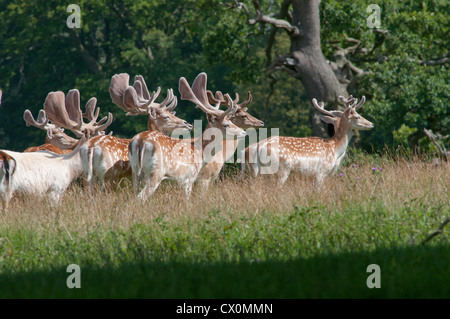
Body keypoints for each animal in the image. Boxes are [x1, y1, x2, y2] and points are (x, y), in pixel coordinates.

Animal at [241, 95, 374, 185]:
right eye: (357, 117)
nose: (371, 124)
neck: (335, 149)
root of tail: (255, 148)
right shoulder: (321, 172)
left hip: (256, 172)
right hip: (280, 170)